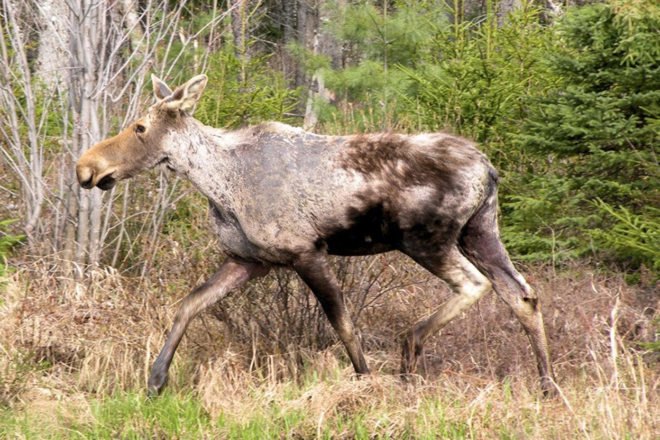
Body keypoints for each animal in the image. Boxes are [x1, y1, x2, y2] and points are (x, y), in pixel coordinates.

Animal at [76, 74, 556, 396]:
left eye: (140, 127)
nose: (87, 167)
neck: (219, 182)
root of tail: (489, 169)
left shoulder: (305, 251)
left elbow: (343, 324)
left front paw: (365, 380)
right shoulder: (251, 260)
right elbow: (189, 304)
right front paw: (156, 379)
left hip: (427, 239)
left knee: (474, 285)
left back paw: (408, 353)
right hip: (480, 231)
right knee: (522, 294)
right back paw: (547, 384)